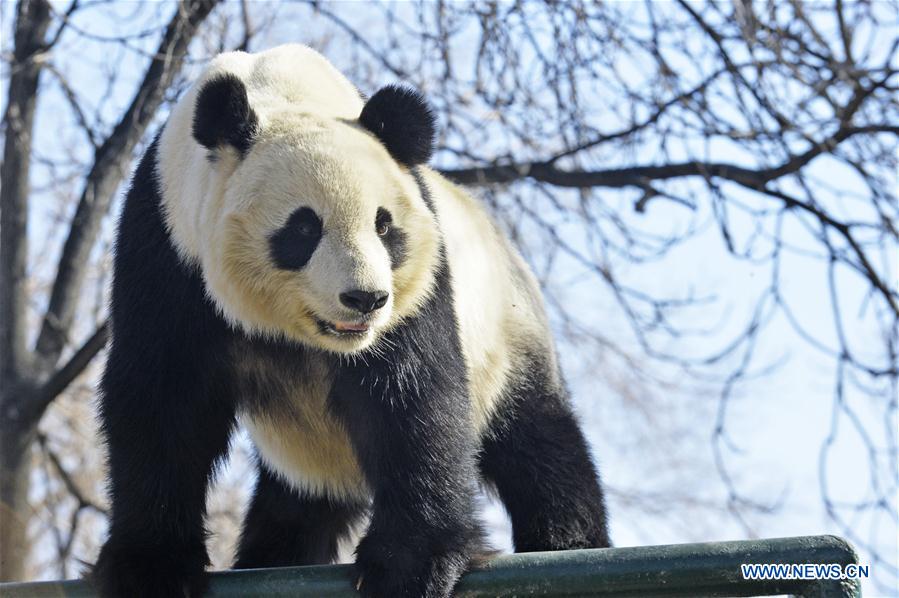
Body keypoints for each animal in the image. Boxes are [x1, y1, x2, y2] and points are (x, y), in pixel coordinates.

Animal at [93, 43, 612, 598]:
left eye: (384, 226)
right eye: (303, 227)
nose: (365, 299)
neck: (281, 90)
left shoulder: (421, 287)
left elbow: (414, 394)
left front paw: (412, 563)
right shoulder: (167, 248)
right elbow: (162, 398)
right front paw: (153, 566)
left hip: (504, 337)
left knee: (540, 446)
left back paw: (569, 541)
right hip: (306, 453)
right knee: (294, 507)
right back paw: (270, 558)